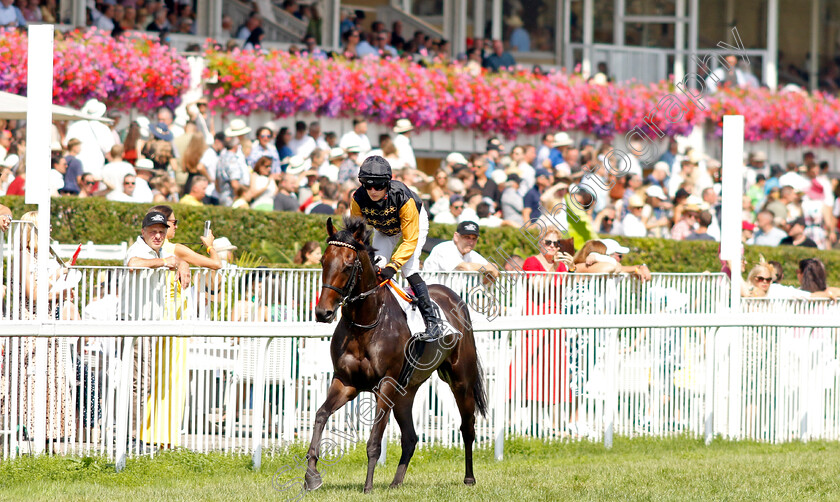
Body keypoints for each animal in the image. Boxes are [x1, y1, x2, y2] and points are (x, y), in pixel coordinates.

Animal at [306, 217, 492, 494]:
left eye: (348, 265)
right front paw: (311, 475)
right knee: (411, 437)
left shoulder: (385, 384)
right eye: (323, 261)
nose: (323, 312)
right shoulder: (346, 382)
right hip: (406, 392)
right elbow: (320, 415)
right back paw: (396, 482)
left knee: (467, 427)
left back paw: (469, 478)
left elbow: (374, 439)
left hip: (461, 380)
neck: (367, 322)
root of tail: (452, 296)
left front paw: (368, 487)